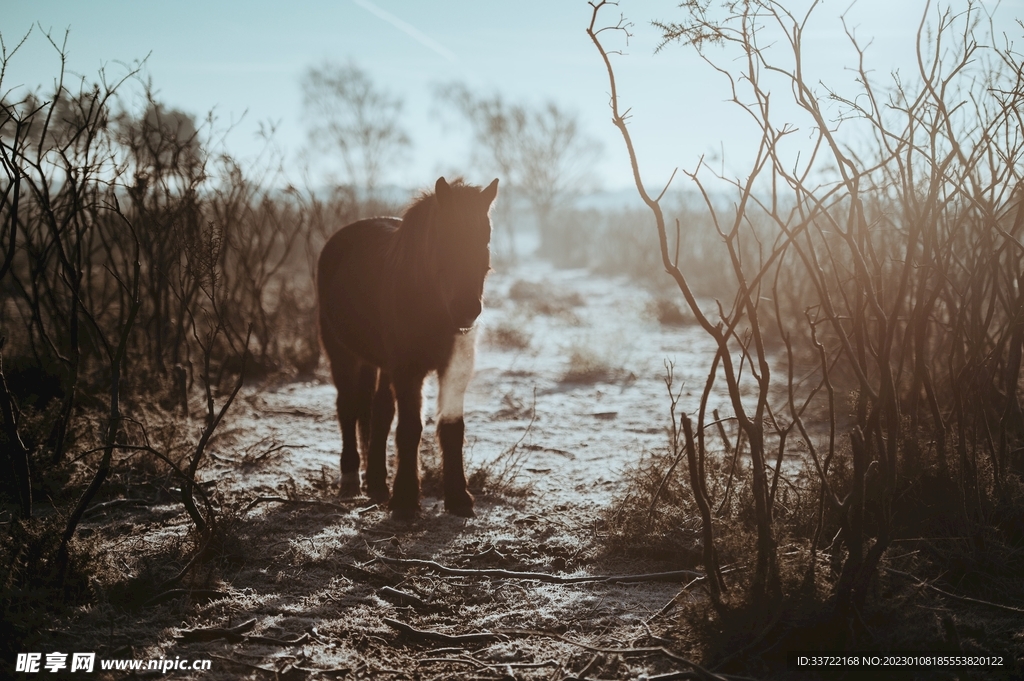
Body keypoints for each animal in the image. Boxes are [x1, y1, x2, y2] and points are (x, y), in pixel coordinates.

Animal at [317, 176, 498, 518]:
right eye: (444, 239)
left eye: (484, 240)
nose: (466, 309)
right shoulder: (408, 369)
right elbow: (410, 428)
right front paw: (404, 499)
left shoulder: (454, 368)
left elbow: (451, 428)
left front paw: (458, 498)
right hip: (342, 354)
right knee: (347, 408)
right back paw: (350, 478)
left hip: (379, 364)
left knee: (378, 411)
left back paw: (376, 482)